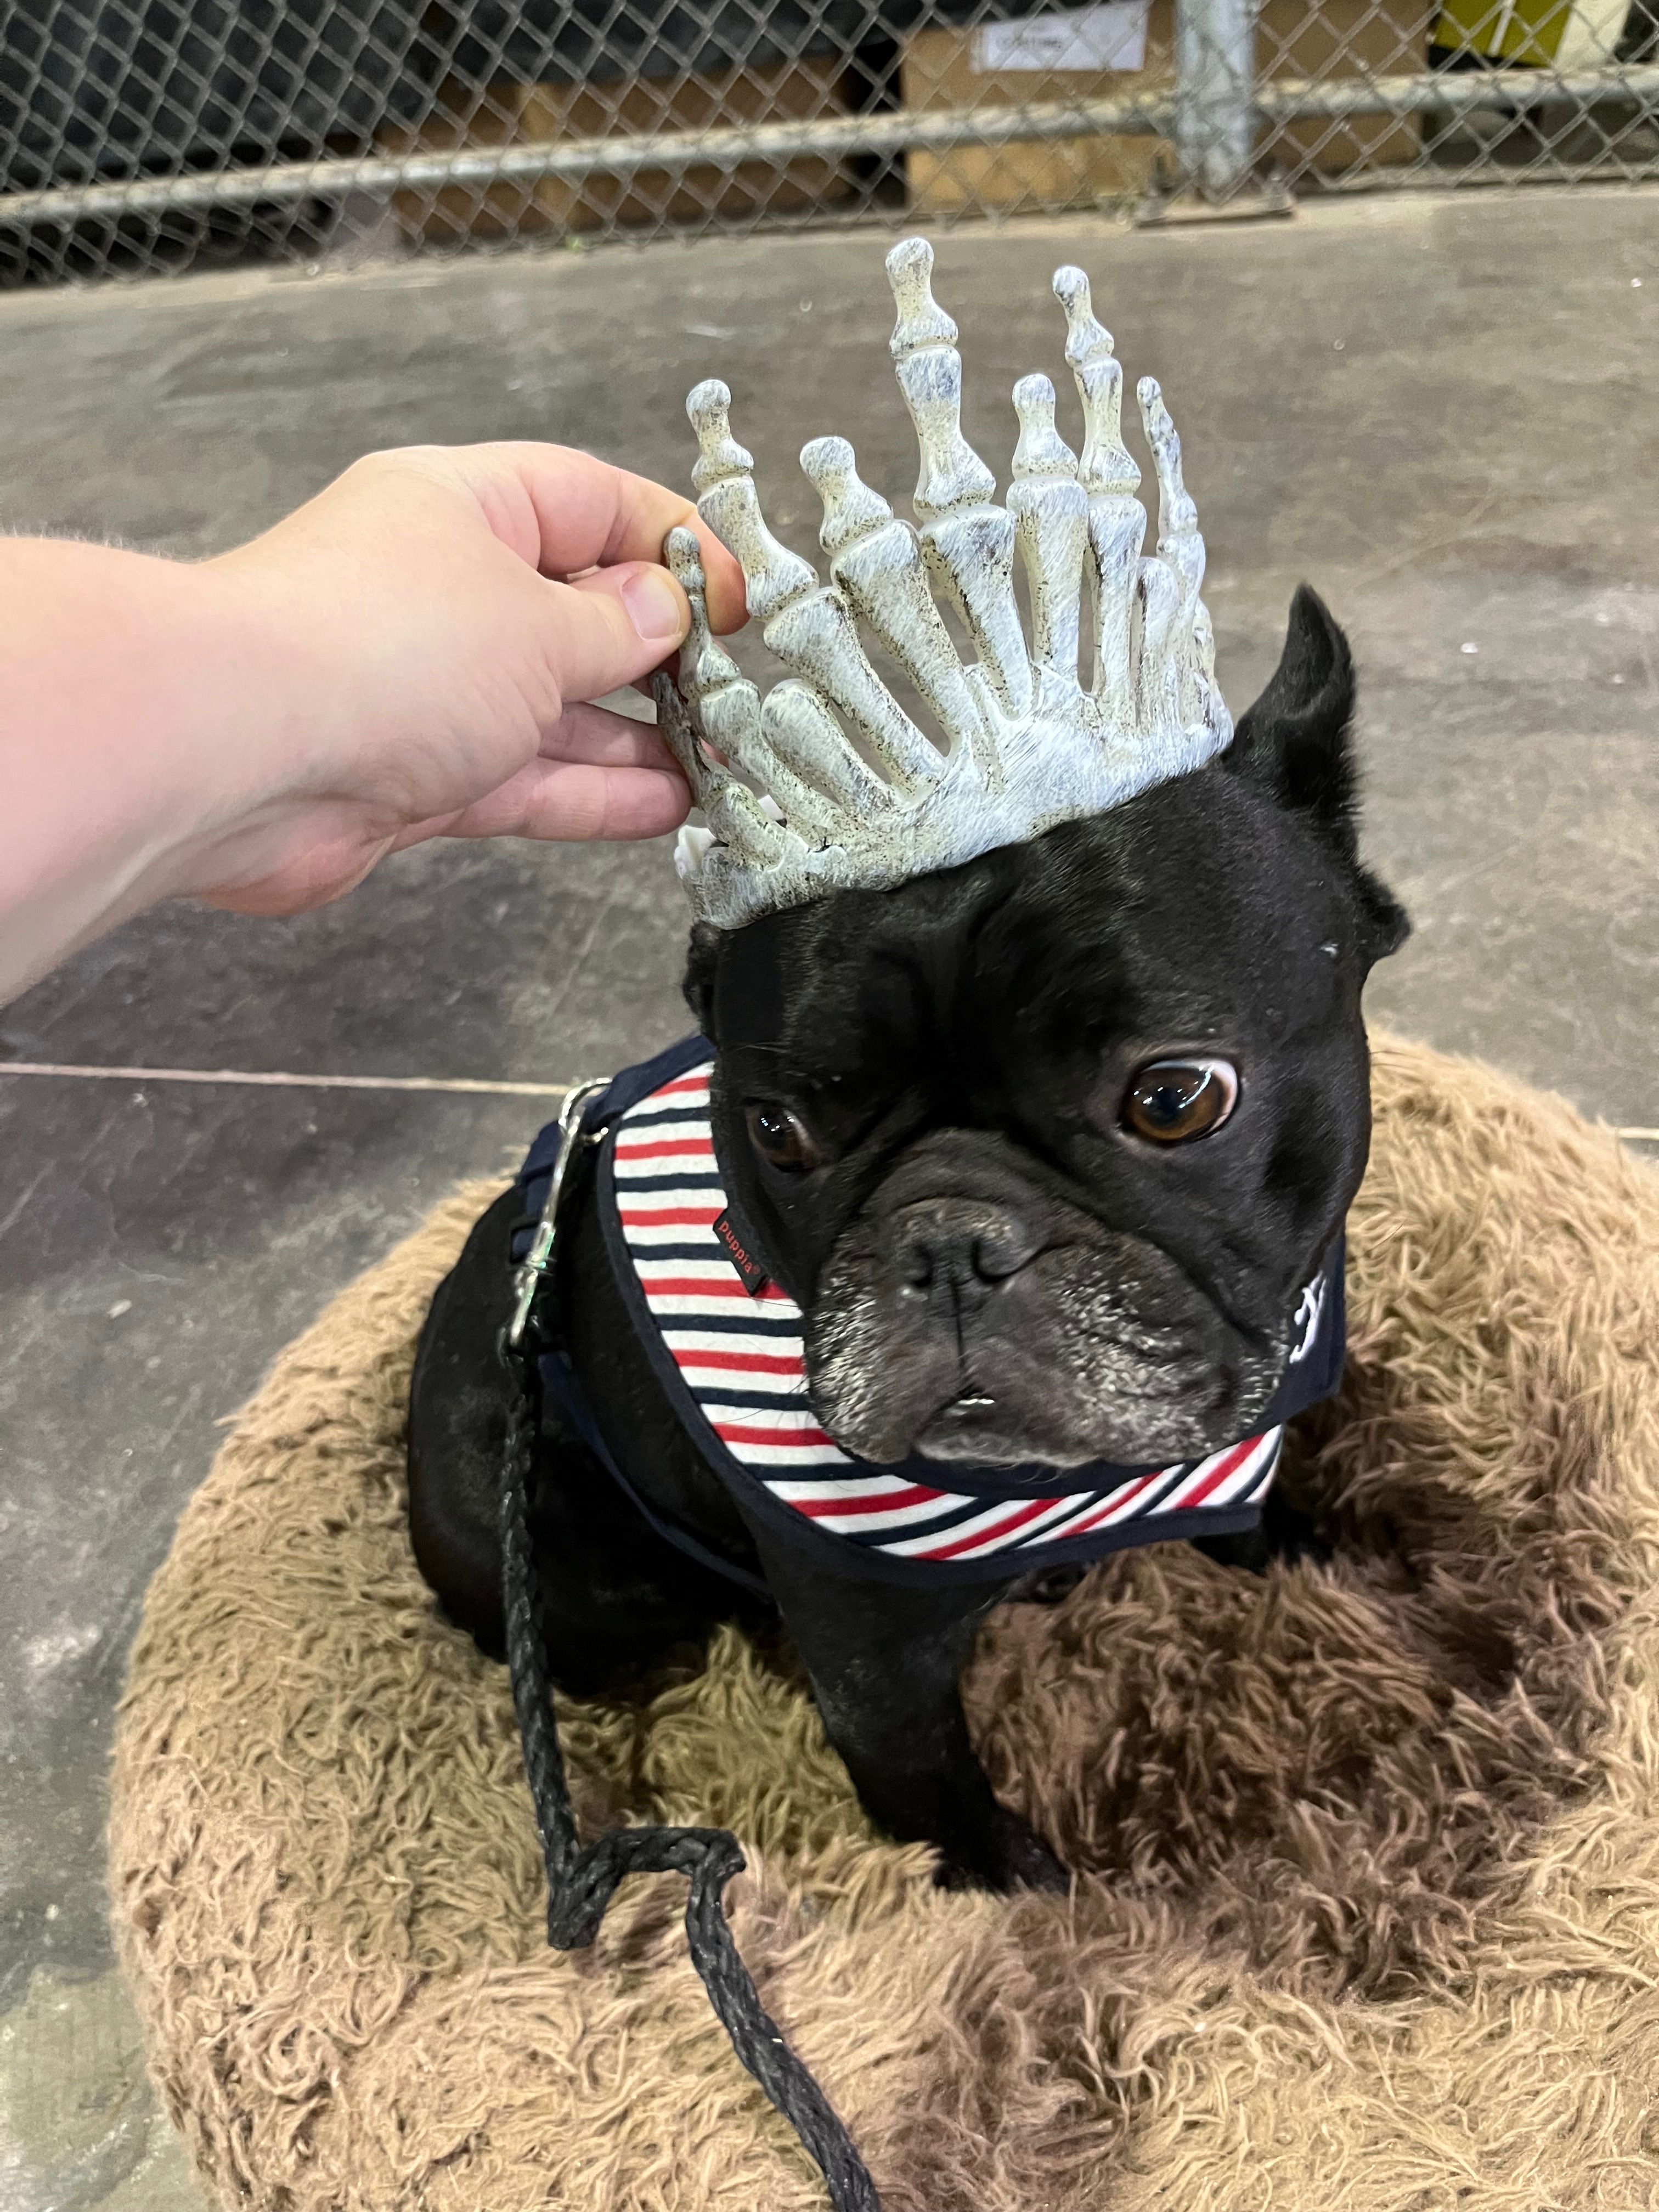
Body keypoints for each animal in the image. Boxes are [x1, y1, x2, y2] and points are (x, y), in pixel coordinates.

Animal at [407, 583, 1407, 1895]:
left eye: (1175, 1097)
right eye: (776, 1131)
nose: (950, 1245)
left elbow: (1262, 1520)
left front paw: (1333, 1567)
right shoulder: (875, 1670)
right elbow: (942, 1803)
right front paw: (1024, 1897)